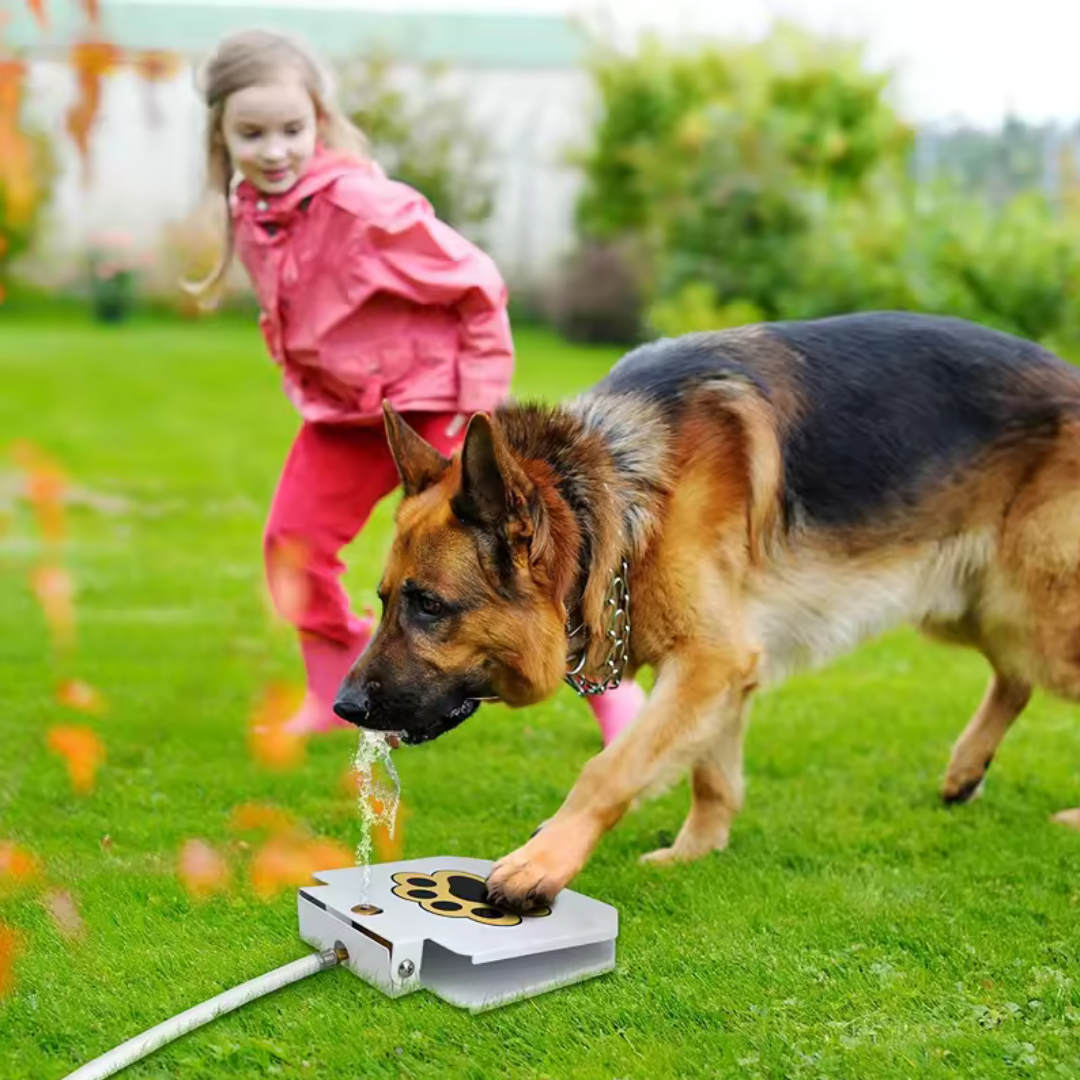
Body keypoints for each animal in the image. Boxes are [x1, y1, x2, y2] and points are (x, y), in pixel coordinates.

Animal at [332, 313, 1080, 911]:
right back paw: (966, 769)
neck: (619, 492)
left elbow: (612, 767)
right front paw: (696, 852)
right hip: (973, 607)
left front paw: (542, 862)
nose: (344, 707)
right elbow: (710, 773)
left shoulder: (712, 660)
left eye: (430, 606)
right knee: (1014, 678)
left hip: (1033, 612)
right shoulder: (721, 671)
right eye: (385, 600)